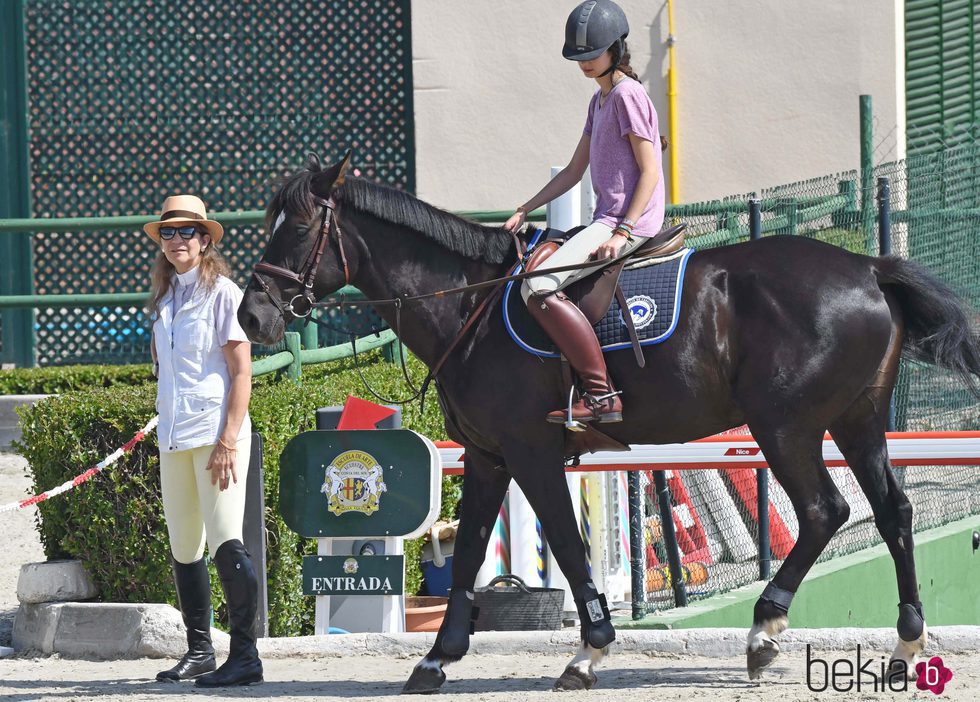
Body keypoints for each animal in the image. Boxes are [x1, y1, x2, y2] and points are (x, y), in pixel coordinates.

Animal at [241, 154, 980, 692]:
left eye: (297, 230)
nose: (251, 316)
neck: (468, 310)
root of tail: (870, 266)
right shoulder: (487, 456)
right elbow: (471, 550)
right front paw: (437, 658)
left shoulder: (531, 451)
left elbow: (568, 547)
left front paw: (588, 653)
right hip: (857, 420)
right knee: (893, 512)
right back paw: (905, 645)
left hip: (786, 426)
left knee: (826, 511)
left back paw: (764, 631)